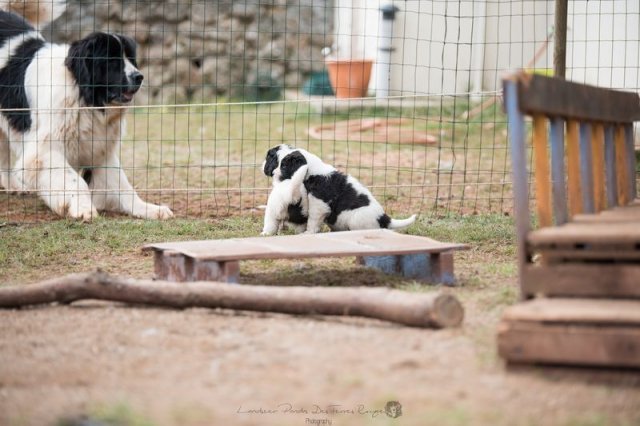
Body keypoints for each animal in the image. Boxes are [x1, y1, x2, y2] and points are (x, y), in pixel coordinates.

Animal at [0, 1, 173, 220]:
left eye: (131, 59)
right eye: (112, 60)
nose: (139, 76)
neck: (84, 98)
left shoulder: (100, 147)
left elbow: (123, 185)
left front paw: (147, 209)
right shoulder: (43, 151)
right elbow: (75, 180)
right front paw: (82, 208)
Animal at [262, 144, 417, 233]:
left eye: (283, 165)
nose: (274, 172)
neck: (313, 171)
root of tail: (384, 218)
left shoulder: (319, 205)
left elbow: (312, 221)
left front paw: (308, 233)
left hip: (356, 219)